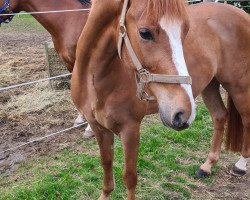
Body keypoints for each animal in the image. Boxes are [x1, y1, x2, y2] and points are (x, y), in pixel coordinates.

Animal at [71, 0, 194, 198]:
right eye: (144, 33)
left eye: (185, 31)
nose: (183, 113)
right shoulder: (98, 127)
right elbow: (106, 163)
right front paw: (105, 194)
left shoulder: (130, 129)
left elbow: (129, 177)